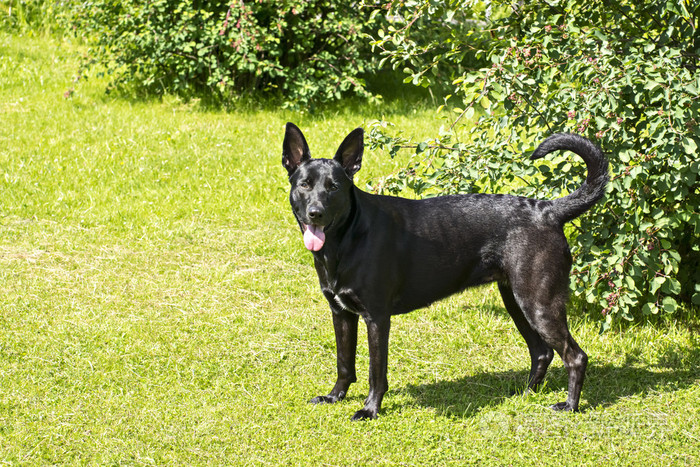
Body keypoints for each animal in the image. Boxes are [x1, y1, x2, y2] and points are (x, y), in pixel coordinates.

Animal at [282, 122, 608, 422]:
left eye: (334, 187)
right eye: (305, 184)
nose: (315, 213)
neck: (348, 237)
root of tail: (548, 210)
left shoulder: (377, 317)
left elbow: (377, 372)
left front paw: (370, 409)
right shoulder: (341, 313)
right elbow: (344, 363)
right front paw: (335, 397)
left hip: (539, 304)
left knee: (575, 356)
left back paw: (570, 406)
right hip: (516, 301)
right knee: (542, 352)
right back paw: (524, 394)